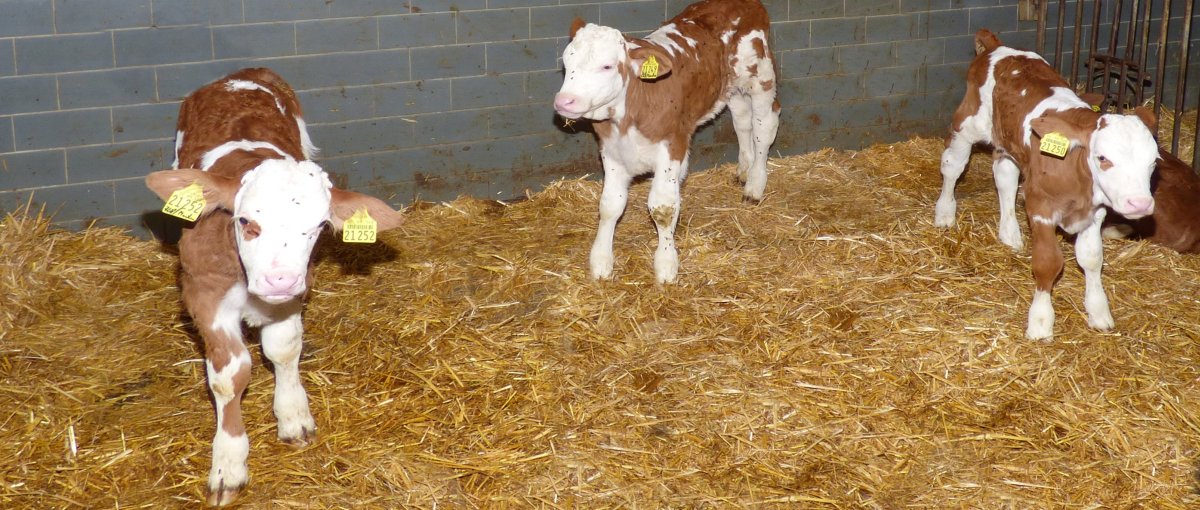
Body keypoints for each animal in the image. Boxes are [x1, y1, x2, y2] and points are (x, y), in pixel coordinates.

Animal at [552, 0, 777, 282]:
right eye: (567, 61)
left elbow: (663, 208)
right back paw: (744, 170)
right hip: (730, 89)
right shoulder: (611, 150)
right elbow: (609, 205)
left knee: (763, 127)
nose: (564, 101)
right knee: (742, 121)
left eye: (607, 66)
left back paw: (755, 184)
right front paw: (601, 260)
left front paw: (666, 263)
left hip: (761, 78)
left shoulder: (673, 145)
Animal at [931, 30, 1156, 340]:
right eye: (1103, 158)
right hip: (967, 123)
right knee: (953, 165)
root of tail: (997, 46)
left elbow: (1092, 258)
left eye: (1153, 162)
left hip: (1008, 142)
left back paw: (1010, 233)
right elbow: (1048, 263)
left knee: (1004, 177)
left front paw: (1099, 312)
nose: (1140, 204)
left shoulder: (1094, 212)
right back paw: (944, 213)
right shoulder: (1040, 206)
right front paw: (1040, 322)